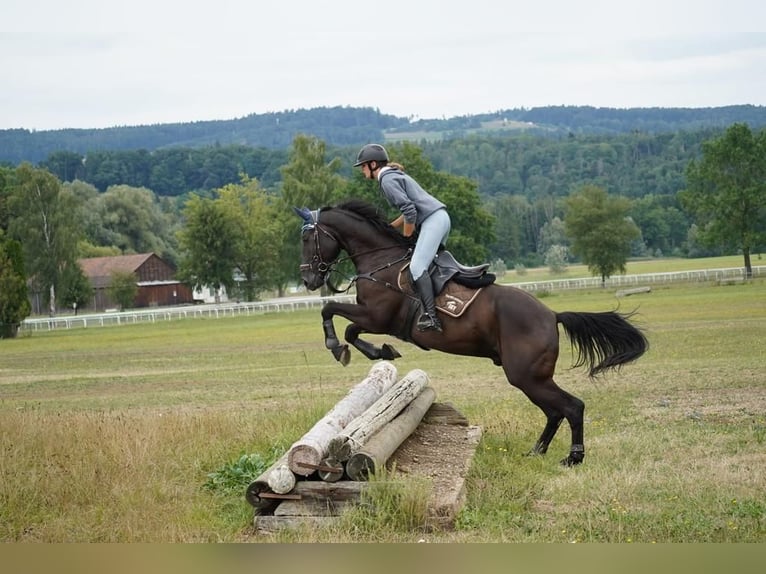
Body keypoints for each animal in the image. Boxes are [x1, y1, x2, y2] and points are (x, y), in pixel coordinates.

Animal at [294, 200, 648, 466]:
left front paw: (340, 347)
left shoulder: (377, 316)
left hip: (527, 375)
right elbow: (347, 326)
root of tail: (551, 315)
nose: (309, 280)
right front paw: (379, 351)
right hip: (531, 378)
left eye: (306, 240)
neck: (381, 259)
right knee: (554, 411)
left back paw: (573, 457)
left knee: (572, 407)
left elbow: (334, 314)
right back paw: (536, 452)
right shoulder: (372, 317)